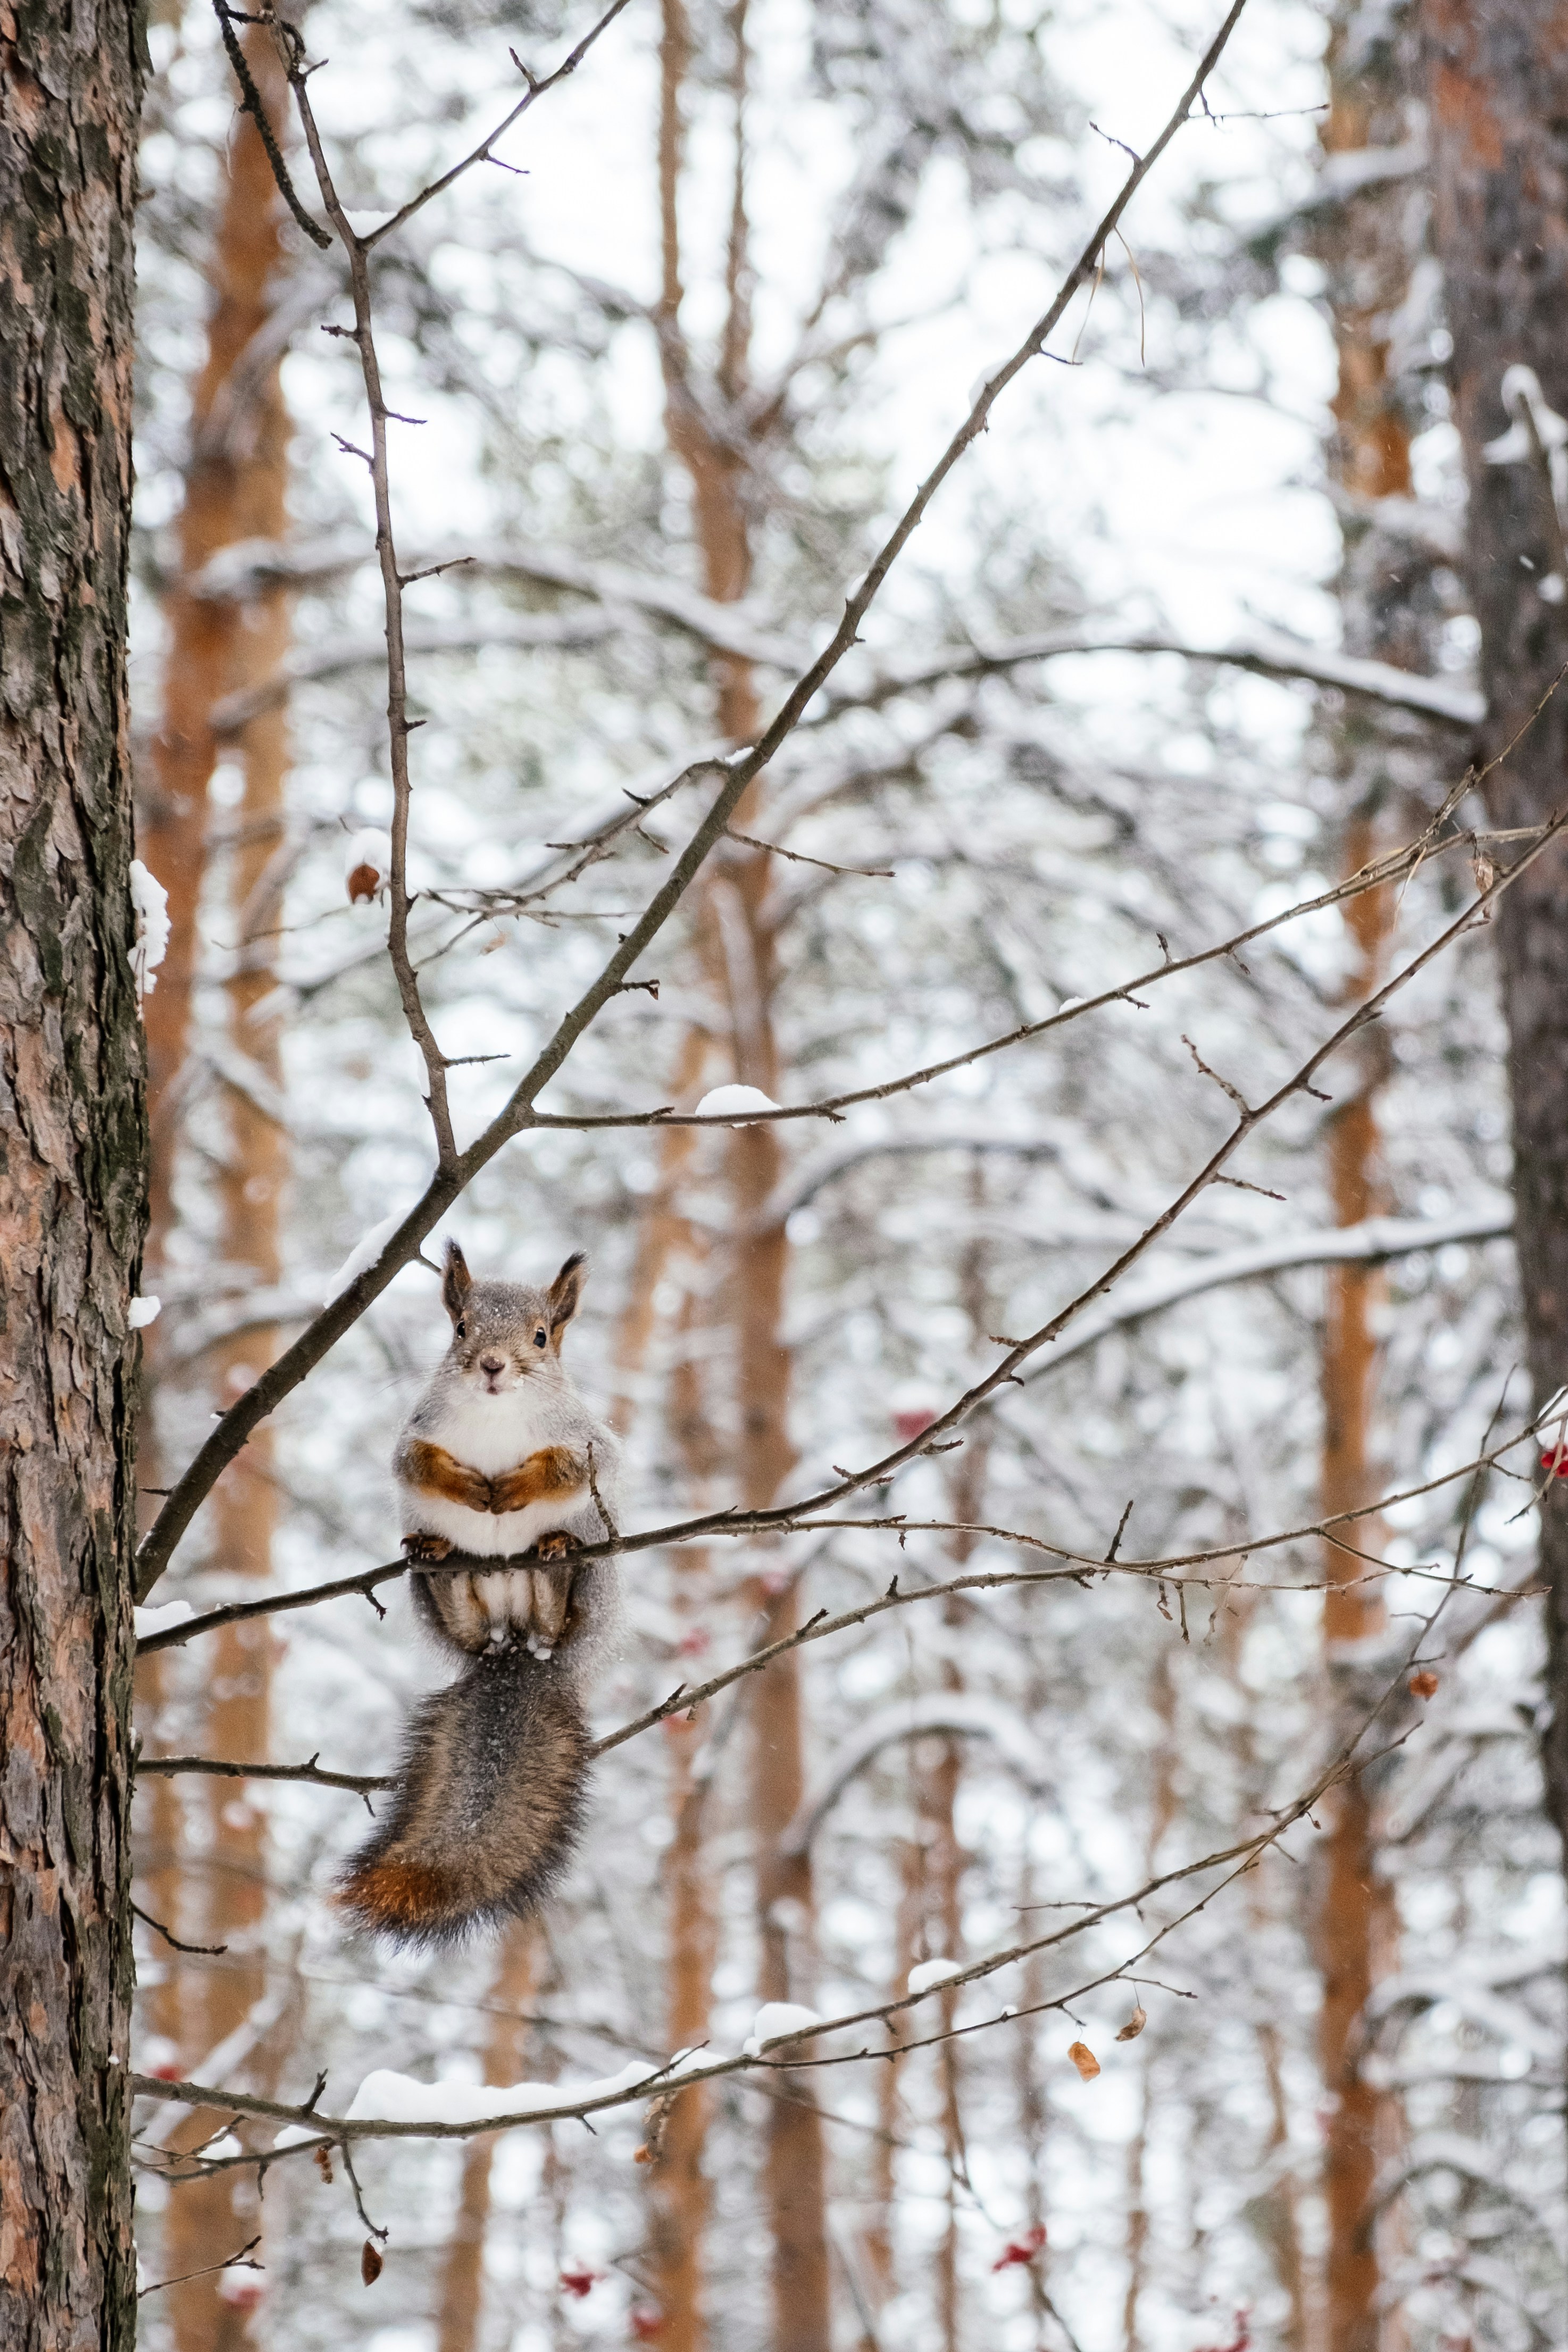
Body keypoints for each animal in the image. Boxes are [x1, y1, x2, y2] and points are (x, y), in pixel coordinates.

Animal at [338, 1240, 621, 1947]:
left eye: (542, 1337)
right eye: (461, 1329)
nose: (493, 1366)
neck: (496, 1414)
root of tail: (513, 1647)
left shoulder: (589, 1442)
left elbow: (573, 1467)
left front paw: (514, 1488)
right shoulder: (414, 1435)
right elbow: (415, 1464)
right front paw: (467, 1487)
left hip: (590, 1587)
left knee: (554, 1612)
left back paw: (553, 1559)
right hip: (436, 1598)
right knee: (459, 1606)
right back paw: (441, 1558)